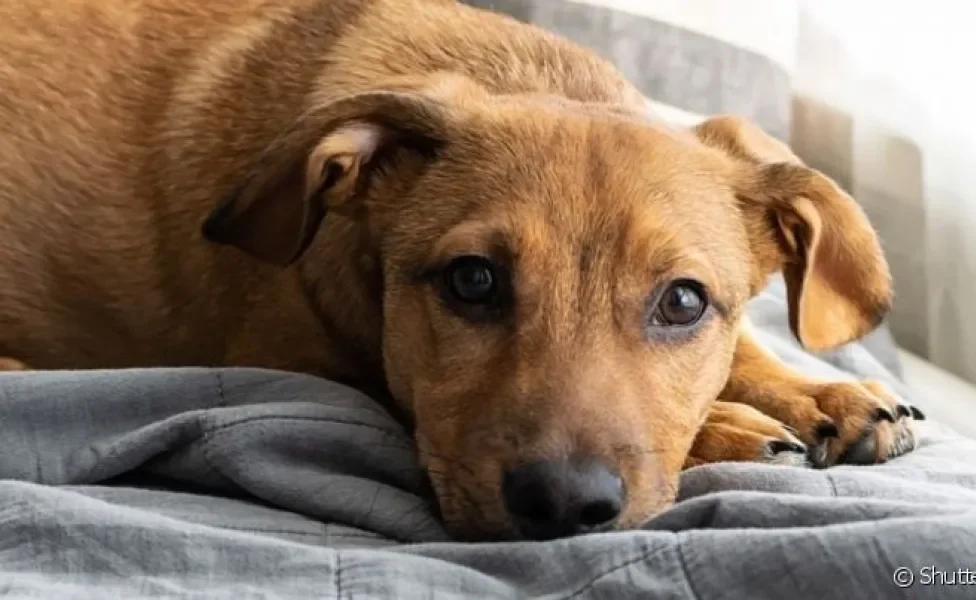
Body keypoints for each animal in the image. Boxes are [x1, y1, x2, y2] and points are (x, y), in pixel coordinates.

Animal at [0, 0, 920, 544]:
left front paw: (822, 392)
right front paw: (728, 429)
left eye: (684, 301)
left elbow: (746, 351)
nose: (563, 508)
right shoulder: (282, 362)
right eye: (472, 281)